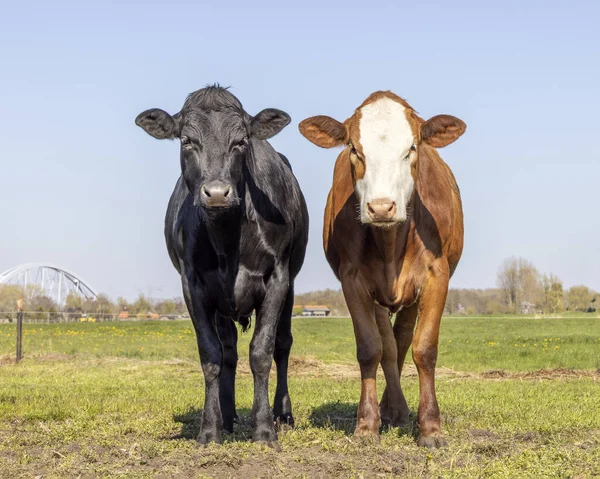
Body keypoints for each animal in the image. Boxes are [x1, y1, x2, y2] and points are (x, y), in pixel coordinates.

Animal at [134, 86, 308, 450]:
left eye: (241, 141)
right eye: (187, 141)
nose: (216, 193)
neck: (228, 237)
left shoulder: (278, 279)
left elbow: (262, 351)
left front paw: (264, 430)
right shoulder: (193, 285)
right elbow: (211, 354)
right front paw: (210, 429)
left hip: (292, 283)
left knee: (283, 345)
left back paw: (283, 414)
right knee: (228, 351)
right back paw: (227, 416)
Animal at [298, 92, 464, 448]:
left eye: (412, 147)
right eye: (354, 149)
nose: (381, 207)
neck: (391, 241)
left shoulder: (436, 276)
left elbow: (424, 349)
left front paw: (431, 428)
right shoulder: (353, 280)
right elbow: (370, 348)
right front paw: (366, 424)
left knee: (402, 340)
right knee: (388, 346)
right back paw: (394, 409)